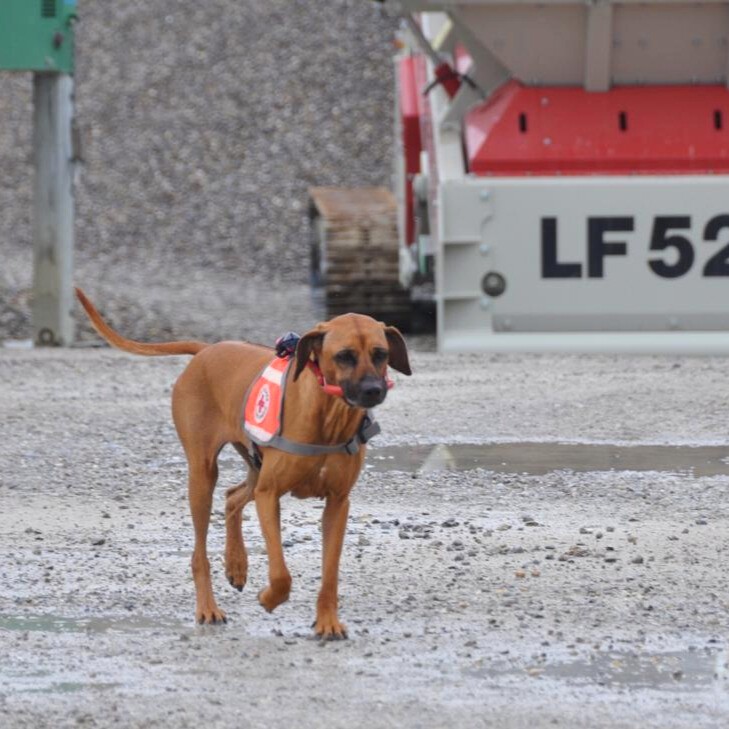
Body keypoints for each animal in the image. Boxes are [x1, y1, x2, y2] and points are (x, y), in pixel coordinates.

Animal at [78, 288, 416, 636]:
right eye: (345, 356)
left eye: (380, 353)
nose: (373, 390)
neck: (328, 418)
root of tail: (206, 350)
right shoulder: (269, 495)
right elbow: (280, 573)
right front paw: (269, 598)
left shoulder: (337, 503)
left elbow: (330, 574)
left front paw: (328, 622)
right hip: (203, 474)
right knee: (200, 550)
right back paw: (208, 607)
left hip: (255, 465)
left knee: (232, 497)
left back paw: (236, 564)